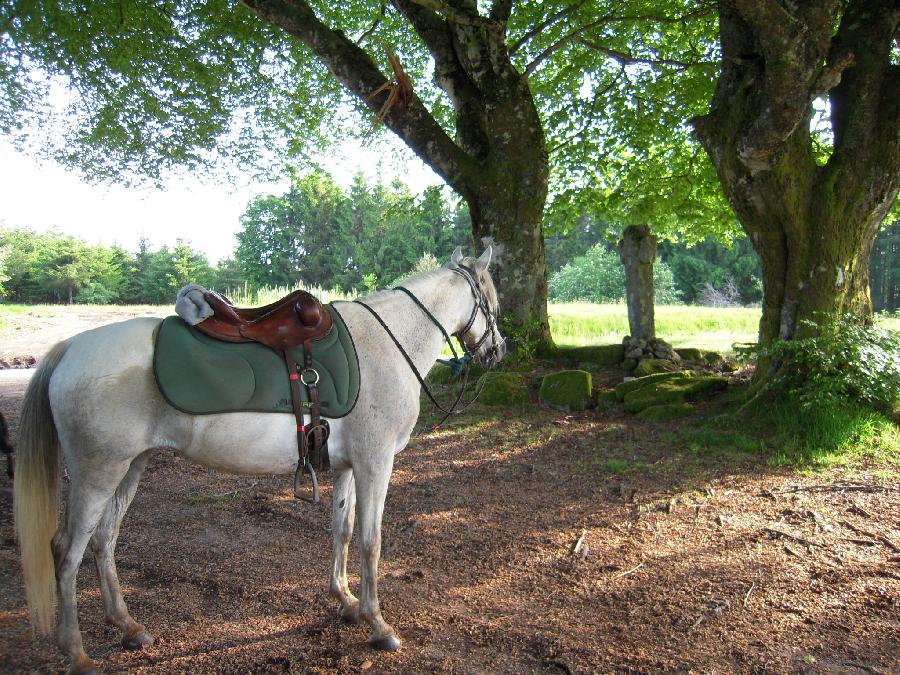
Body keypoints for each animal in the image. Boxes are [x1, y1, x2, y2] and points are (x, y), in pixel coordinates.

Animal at [14, 248, 502, 675]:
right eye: (493, 299)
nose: (499, 349)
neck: (387, 341)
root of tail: (70, 348)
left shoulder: (348, 467)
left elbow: (341, 530)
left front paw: (345, 600)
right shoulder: (374, 464)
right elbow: (370, 541)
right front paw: (377, 623)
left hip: (130, 467)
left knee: (104, 540)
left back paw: (128, 626)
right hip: (98, 471)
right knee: (67, 551)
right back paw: (76, 653)